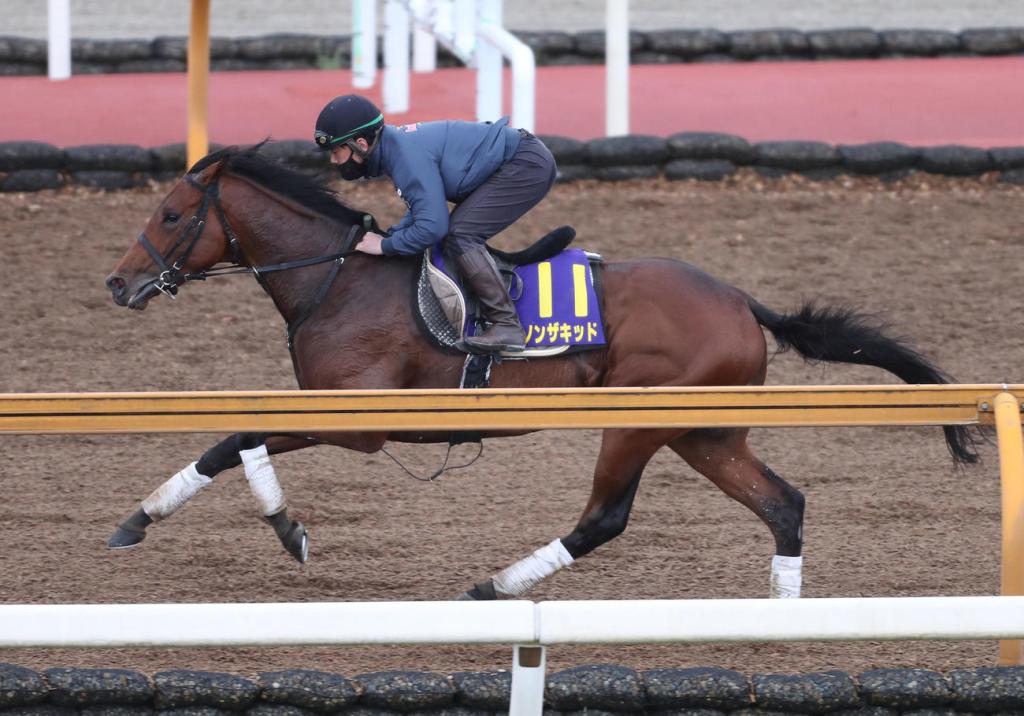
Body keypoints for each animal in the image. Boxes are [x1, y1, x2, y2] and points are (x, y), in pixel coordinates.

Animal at [104, 144, 977, 601]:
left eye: (172, 216)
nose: (118, 283)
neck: (339, 279)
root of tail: (741, 300)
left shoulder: (364, 423)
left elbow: (239, 438)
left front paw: (276, 529)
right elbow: (232, 440)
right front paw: (158, 519)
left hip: (638, 422)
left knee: (605, 519)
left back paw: (492, 587)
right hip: (705, 432)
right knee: (784, 504)